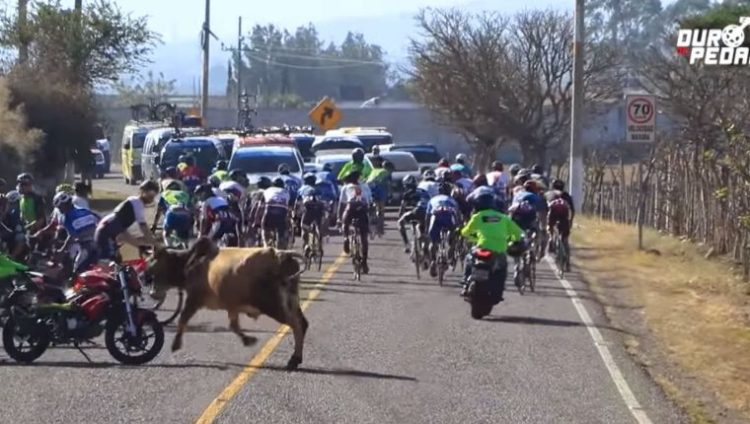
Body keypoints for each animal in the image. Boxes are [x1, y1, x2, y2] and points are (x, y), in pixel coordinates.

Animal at [147, 238, 312, 372]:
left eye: (153, 262)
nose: (152, 291)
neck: (191, 262)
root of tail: (281, 255)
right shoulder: (232, 306)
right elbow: (233, 326)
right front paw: (248, 340)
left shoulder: (194, 299)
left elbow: (183, 319)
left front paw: (175, 344)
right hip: (291, 302)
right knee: (303, 323)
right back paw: (295, 358)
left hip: (272, 305)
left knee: (296, 325)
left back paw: (294, 360)